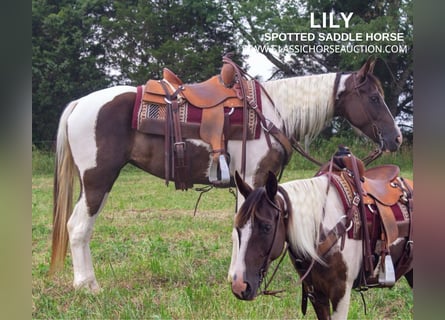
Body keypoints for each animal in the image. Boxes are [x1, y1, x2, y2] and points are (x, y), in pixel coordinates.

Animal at [50, 56, 400, 292]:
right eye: (373, 97)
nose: (395, 138)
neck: (273, 114)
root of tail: (80, 103)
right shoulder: (254, 179)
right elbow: (241, 231)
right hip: (97, 179)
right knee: (78, 227)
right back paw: (87, 285)